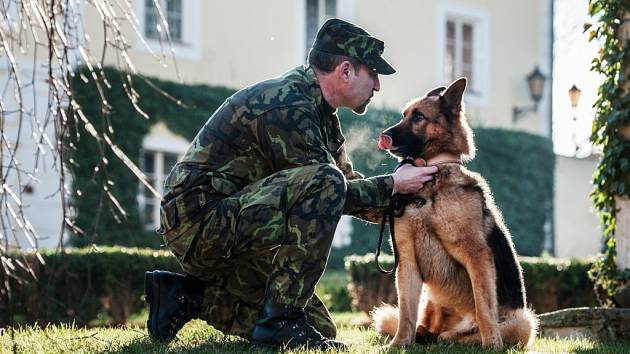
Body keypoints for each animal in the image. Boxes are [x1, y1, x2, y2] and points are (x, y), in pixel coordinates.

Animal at [372, 78, 540, 348]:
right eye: (404, 115)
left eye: (419, 116)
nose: (384, 136)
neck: (432, 180)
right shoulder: (406, 261)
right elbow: (406, 312)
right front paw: (398, 344)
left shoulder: (476, 255)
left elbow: (484, 306)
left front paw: (492, 345)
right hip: (430, 299)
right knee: (421, 325)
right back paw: (425, 334)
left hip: (524, 322)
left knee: (465, 334)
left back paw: (456, 337)